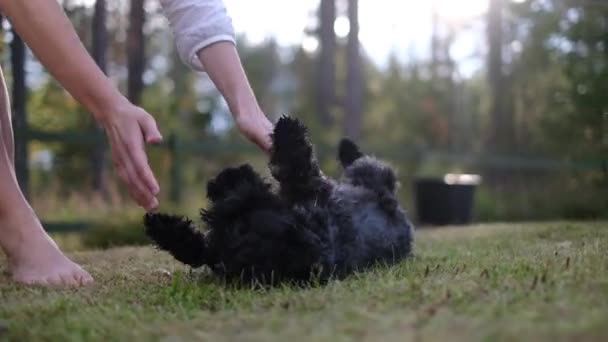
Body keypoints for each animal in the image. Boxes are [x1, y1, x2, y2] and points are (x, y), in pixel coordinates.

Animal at [145, 116, 416, 284]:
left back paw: (346, 147)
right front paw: (166, 229)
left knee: (361, 162)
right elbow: (197, 252)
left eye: (244, 204)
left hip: (371, 172)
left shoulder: (313, 189)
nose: (223, 179)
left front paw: (288, 132)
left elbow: (297, 167)